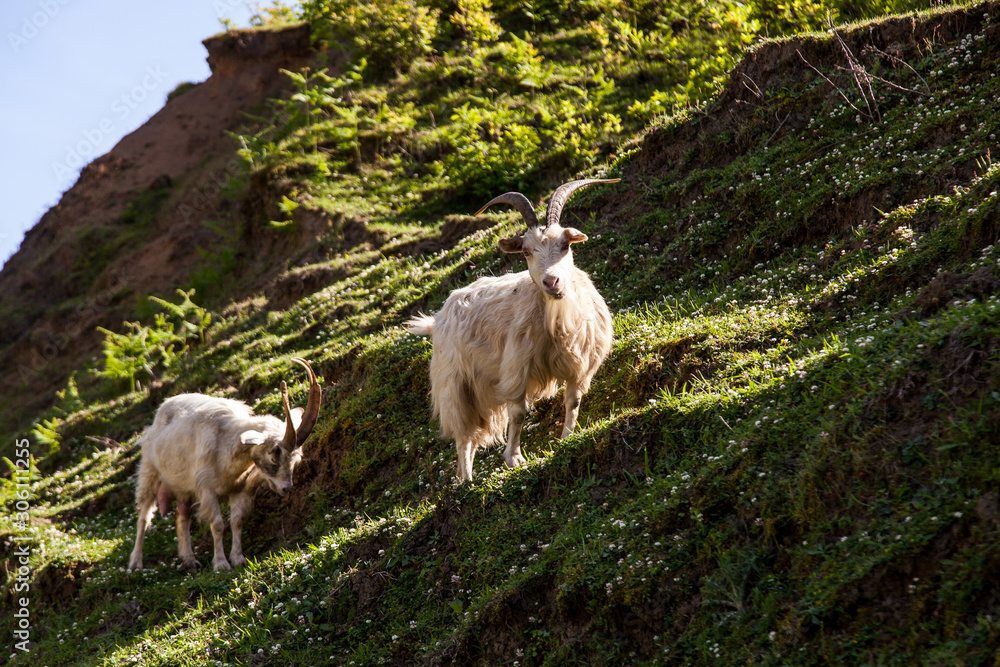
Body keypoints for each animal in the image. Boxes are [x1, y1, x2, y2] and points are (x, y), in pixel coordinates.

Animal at [127, 358, 321, 572]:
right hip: (149, 472)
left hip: (183, 486)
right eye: (273, 454)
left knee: (182, 515)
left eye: (296, 460)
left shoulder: (239, 489)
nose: (286, 488)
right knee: (144, 516)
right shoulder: (207, 489)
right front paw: (221, 563)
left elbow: (237, 521)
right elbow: (218, 524)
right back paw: (135, 563)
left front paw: (238, 558)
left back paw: (189, 560)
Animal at [405, 178, 617, 481]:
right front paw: (514, 458)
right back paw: (466, 480)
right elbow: (518, 414)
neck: (558, 321)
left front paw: (567, 438)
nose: (552, 281)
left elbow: (573, 402)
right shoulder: (517, 367)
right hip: (454, 383)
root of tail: (438, 317)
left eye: (565, 245)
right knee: (463, 434)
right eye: (526, 251)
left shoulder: (581, 366)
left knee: (472, 435)